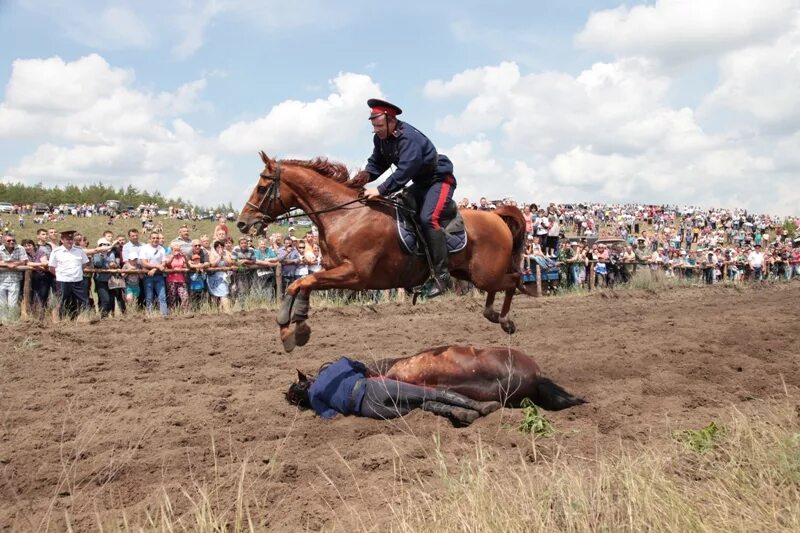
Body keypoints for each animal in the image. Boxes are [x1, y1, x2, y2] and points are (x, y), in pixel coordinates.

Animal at [241, 153, 536, 354]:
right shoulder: (329, 269)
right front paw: (294, 329)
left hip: (485, 274)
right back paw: (493, 314)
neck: (344, 215)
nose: (243, 222)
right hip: (470, 273)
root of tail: (496, 215)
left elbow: (301, 284)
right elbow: (301, 284)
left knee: (513, 280)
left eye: (262, 187)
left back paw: (504, 319)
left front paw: (293, 328)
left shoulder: (355, 275)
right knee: (502, 285)